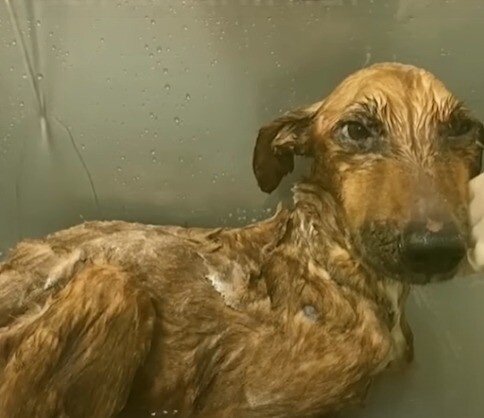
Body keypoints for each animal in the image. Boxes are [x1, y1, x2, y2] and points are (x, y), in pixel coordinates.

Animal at [0, 62, 482, 418]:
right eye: (356, 130)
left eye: (460, 128)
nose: (436, 251)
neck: (328, 263)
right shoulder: (244, 407)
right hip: (112, 287)